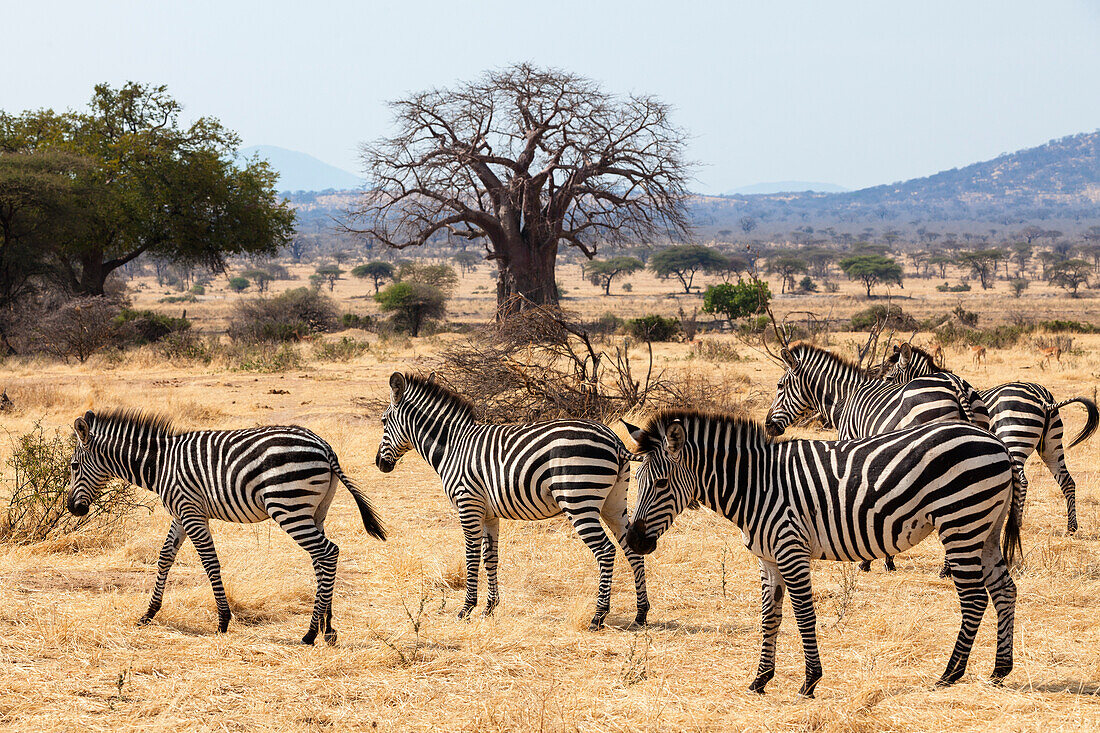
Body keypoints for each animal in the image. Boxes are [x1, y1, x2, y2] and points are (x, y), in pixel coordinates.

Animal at [66, 407, 387, 642]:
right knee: (321, 559)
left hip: (287, 505)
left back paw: (310, 633)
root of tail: (324, 446)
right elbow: (165, 557)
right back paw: (326, 628)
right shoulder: (181, 513)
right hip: (316, 511)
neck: (159, 464)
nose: (72, 508)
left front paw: (222, 621)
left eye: (73, 466)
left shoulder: (191, 511)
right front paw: (149, 613)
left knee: (328, 553)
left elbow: (210, 562)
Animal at [374, 372, 646, 629]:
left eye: (384, 421)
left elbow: (471, 556)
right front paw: (489, 608)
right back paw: (641, 614)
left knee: (606, 550)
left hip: (579, 501)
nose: (379, 463)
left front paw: (466, 609)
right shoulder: (488, 514)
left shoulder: (468, 504)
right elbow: (490, 557)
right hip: (613, 503)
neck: (453, 446)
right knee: (631, 547)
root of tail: (615, 440)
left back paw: (598, 616)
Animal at [624, 407, 1025, 695]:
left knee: (974, 598)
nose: (633, 541)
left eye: (661, 483)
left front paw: (810, 681)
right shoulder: (767, 558)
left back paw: (950, 674)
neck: (756, 485)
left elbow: (804, 616)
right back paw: (999, 670)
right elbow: (770, 618)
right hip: (986, 528)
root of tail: (996, 441)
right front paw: (760, 680)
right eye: (636, 480)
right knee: (1005, 591)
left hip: (961, 522)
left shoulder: (791, 549)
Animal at [761, 343, 994, 572]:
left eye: (780, 386)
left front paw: (869, 560)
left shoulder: (851, 444)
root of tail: (955, 383)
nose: (768, 425)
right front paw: (886, 559)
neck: (844, 399)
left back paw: (947, 568)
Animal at [875, 338, 1100, 534]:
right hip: (1052, 443)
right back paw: (1071, 527)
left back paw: (1016, 521)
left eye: (889, 378)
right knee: (1067, 480)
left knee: (1022, 481)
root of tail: (1043, 398)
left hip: (1015, 439)